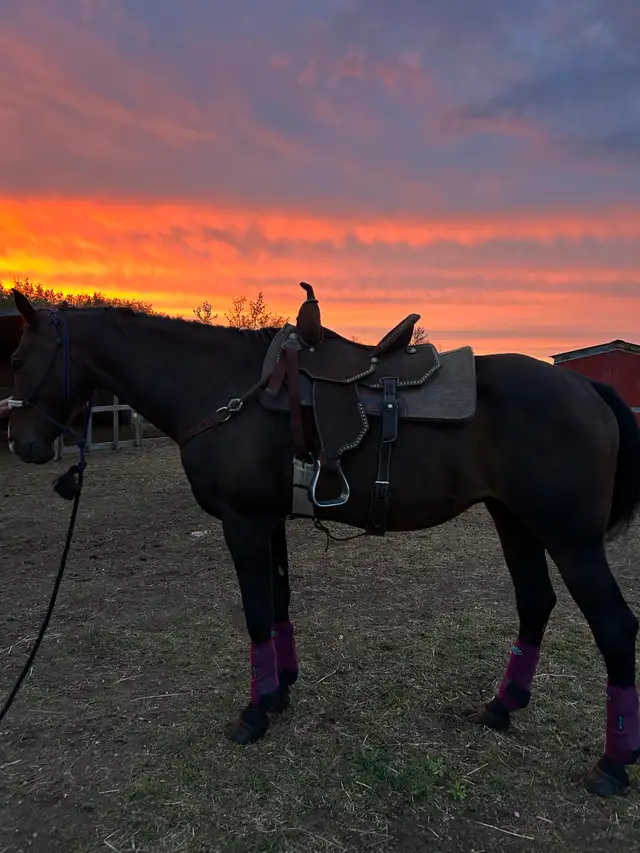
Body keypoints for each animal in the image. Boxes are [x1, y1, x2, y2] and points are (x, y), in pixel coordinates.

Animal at [6, 286, 640, 798]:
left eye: (16, 357)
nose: (22, 444)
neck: (222, 387)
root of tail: (586, 387)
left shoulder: (242, 521)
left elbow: (256, 611)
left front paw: (254, 713)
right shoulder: (267, 520)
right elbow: (278, 604)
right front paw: (279, 690)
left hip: (570, 538)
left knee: (613, 626)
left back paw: (611, 765)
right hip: (516, 522)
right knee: (535, 604)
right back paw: (501, 708)